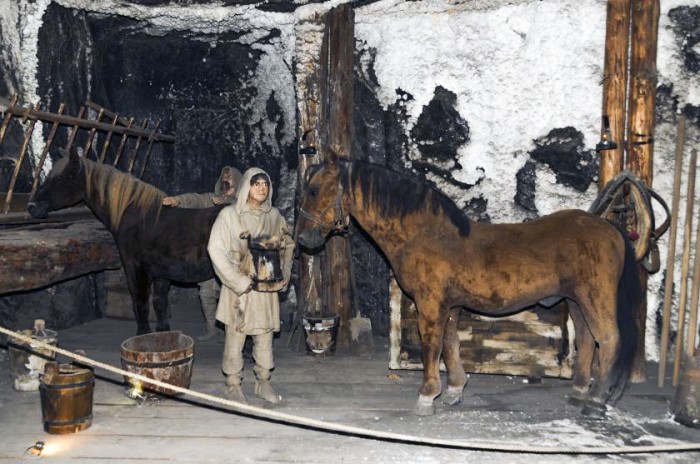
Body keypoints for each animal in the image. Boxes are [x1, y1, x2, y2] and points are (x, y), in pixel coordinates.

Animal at [26, 150, 224, 336]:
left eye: (59, 178)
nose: (31, 206)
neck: (139, 217)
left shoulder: (136, 268)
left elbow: (140, 303)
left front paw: (143, 335)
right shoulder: (162, 273)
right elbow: (159, 303)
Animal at [298, 154, 644, 418]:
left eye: (314, 190)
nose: (303, 238)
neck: (424, 234)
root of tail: (610, 227)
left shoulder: (430, 304)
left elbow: (432, 345)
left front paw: (427, 395)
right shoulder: (449, 306)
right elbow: (450, 344)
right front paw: (454, 390)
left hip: (594, 298)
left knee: (608, 339)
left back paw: (597, 400)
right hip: (575, 300)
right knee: (586, 339)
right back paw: (579, 392)